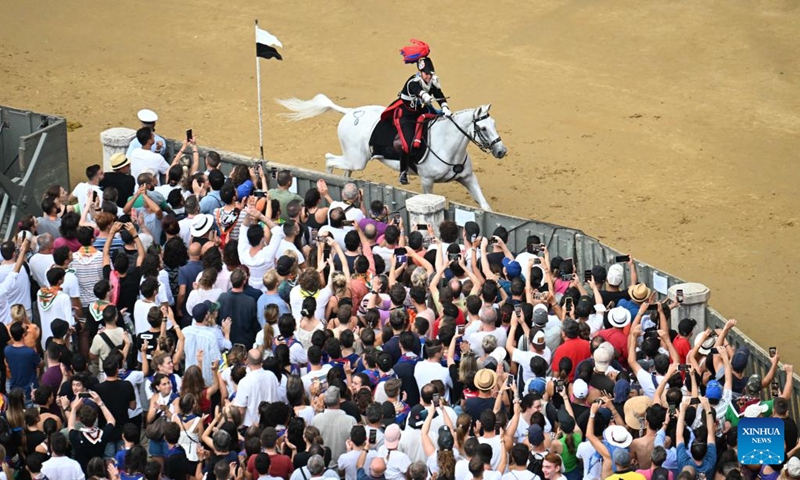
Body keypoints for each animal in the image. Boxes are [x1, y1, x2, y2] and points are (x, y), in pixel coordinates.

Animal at [276, 94, 506, 211]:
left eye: (494, 123)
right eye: (483, 128)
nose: (502, 151)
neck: (447, 144)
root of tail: (350, 112)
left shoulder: (468, 177)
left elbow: (485, 206)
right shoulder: (427, 182)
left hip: (354, 160)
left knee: (344, 171)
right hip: (356, 159)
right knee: (329, 159)